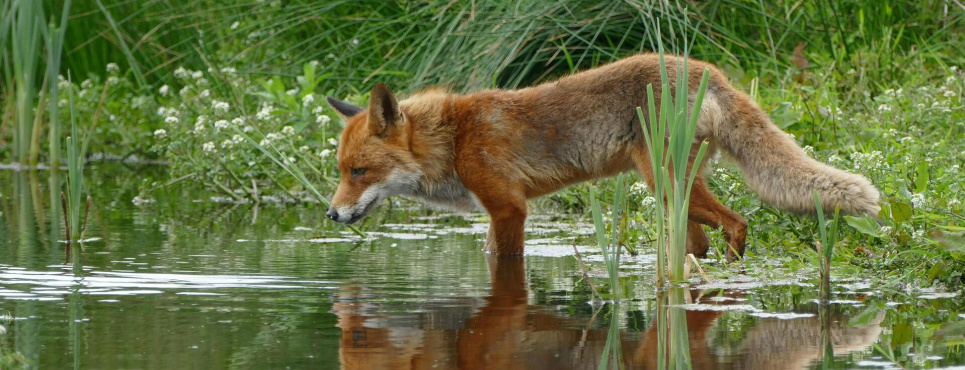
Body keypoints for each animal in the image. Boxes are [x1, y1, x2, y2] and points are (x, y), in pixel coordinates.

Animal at [326, 53, 880, 258]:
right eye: (341, 172)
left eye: (360, 171)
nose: (330, 215)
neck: (454, 138)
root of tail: (707, 69)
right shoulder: (498, 212)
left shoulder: (509, 209)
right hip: (676, 194)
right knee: (701, 241)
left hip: (665, 183)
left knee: (738, 222)